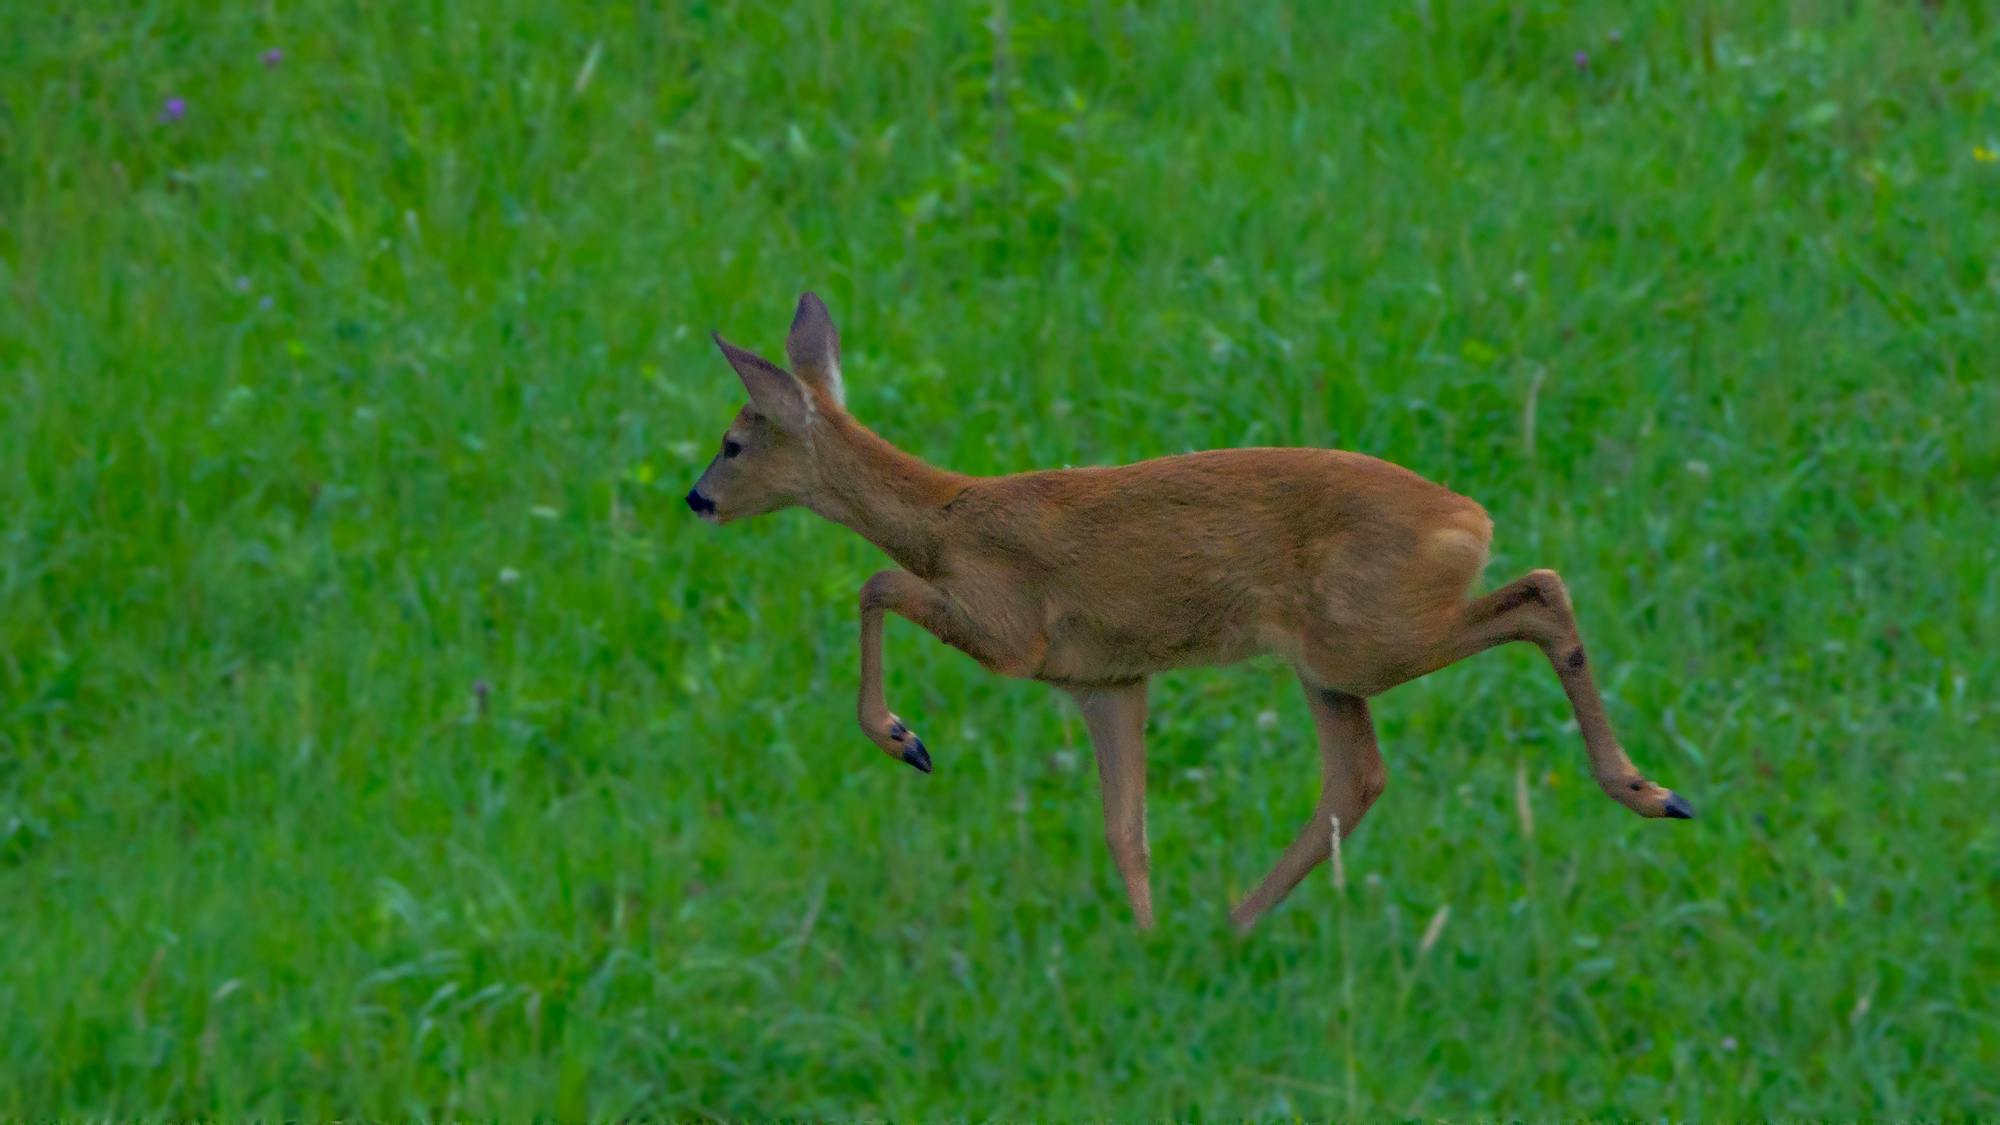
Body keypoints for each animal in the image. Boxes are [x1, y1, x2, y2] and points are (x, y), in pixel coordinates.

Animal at [686, 292, 1694, 932]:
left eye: (733, 442)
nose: (695, 499)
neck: (945, 519)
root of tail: (1469, 519)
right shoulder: (1106, 679)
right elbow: (1125, 829)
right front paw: (1146, 937)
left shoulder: (1011, 627)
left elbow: (874, 585)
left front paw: (905, 738)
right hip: (1328, 662)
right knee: (1358, 775)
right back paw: (1232, 924)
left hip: (1366, 636)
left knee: (1542, 593)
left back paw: (1649, 789)